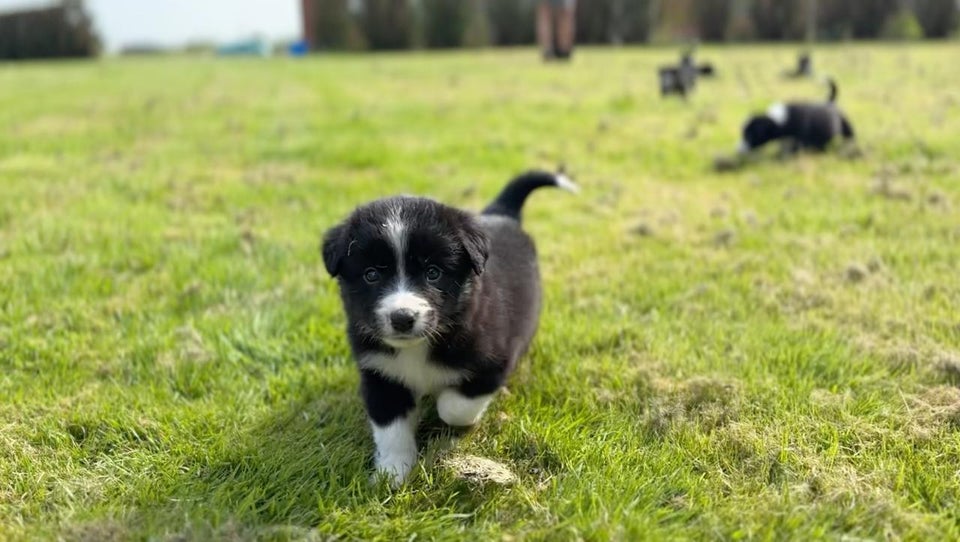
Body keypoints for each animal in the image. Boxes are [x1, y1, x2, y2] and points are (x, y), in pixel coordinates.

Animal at [322, 172, 576, 486]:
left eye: (433, 273)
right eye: (371, 275)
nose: (402, 317)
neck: (417, 348)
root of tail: (501, 214)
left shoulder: (493, 362)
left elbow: (454, 407)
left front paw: (441, 405)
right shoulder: (380, 374)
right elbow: (391, 429)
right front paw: (392, 473)